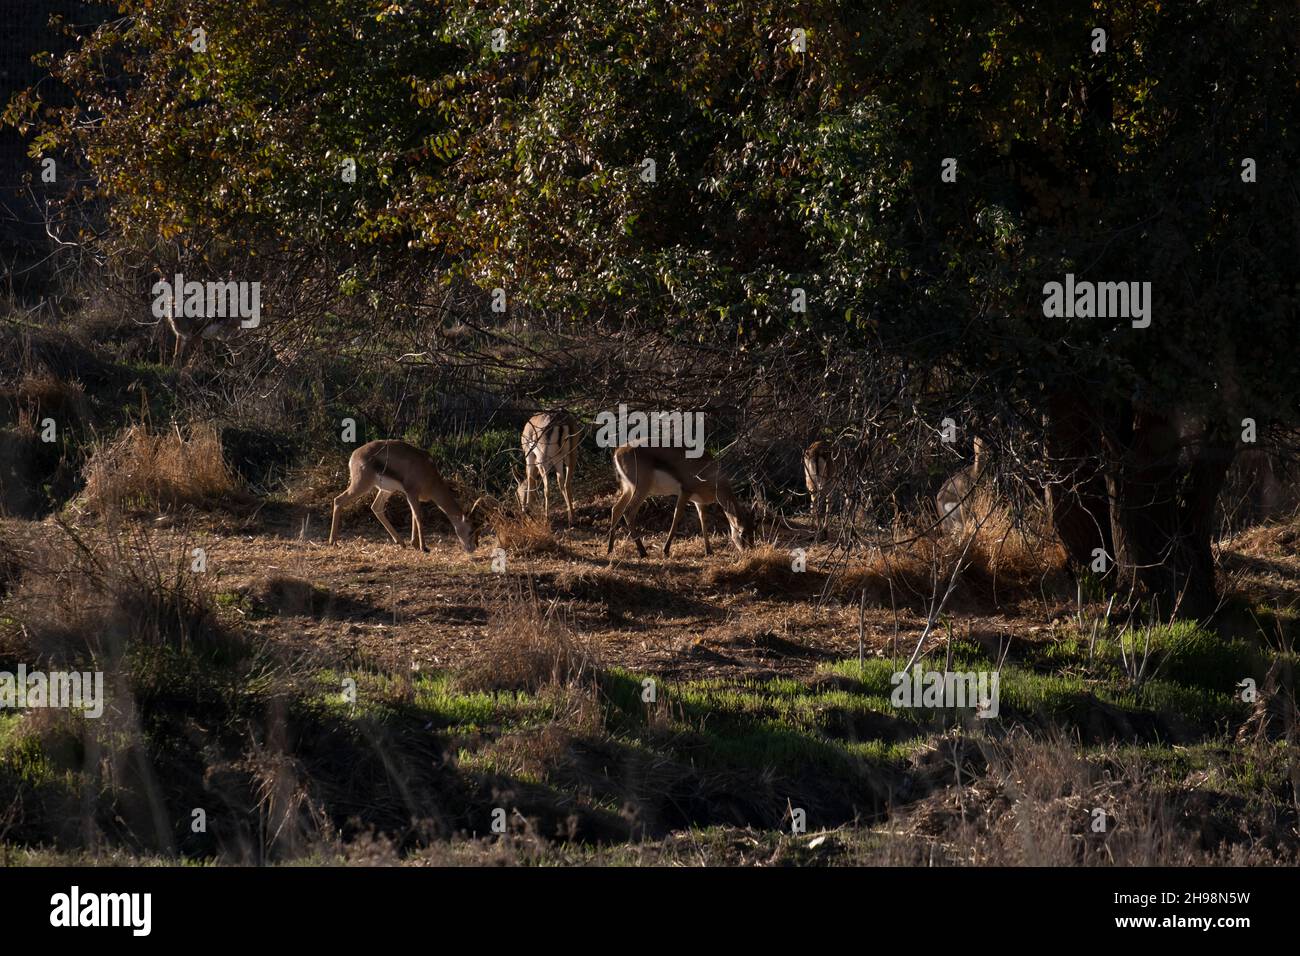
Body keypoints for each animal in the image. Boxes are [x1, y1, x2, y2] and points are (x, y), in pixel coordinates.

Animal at [328, 440, 480, 553]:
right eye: (471, 530)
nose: (473, 548)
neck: (430, 475)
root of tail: (354, 454)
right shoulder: (411, 493)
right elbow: (418, 517)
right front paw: (424, 547)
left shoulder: (413, 496)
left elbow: (413, 515)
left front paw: (414, 544)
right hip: (362, 485)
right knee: (338, 500)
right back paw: (333, 542)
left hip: (386, 490)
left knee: (376, 507)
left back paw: (401, 542)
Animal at [606, 443, 754, 557]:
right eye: (742, 533)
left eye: (753, 530)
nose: (750, 551)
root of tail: (618, 452)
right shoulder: (685, 492)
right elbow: (677, 516)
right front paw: (665, 550)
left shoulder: (699, 502)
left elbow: (703, 521)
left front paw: (709, 551)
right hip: (642, 489)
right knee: (628, 512)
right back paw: (643, 552)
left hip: (628, 489)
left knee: (616, 509)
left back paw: (610, 549)